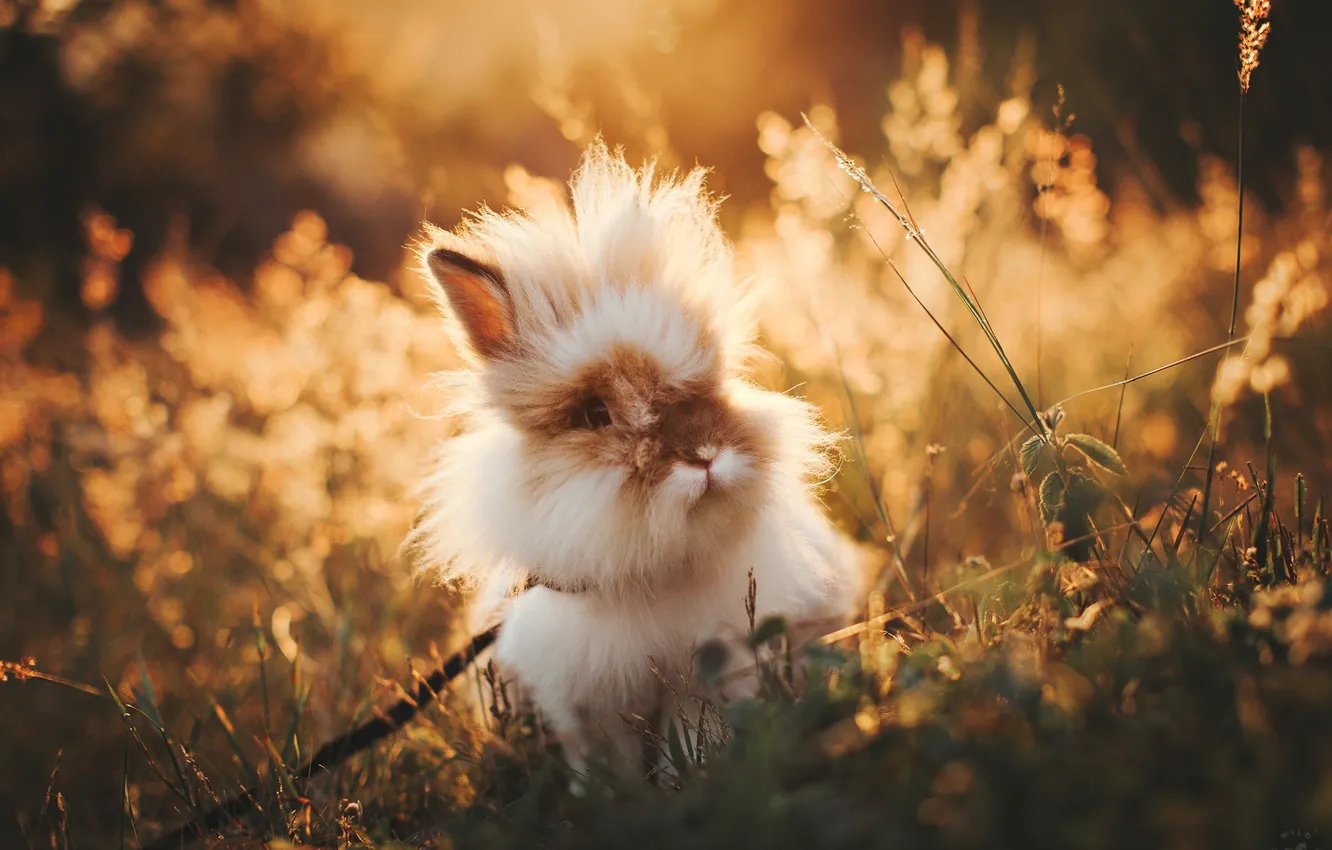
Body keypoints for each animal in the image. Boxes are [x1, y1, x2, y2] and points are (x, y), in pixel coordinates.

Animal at [408, 140, 863, 782]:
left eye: (710, 383)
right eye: (595, 412)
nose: (705, 455)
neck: (651, 568)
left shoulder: (704, 675)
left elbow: (693, 739)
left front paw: (688, 783)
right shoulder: (585, 701)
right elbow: (606, 760)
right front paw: (611, 794)